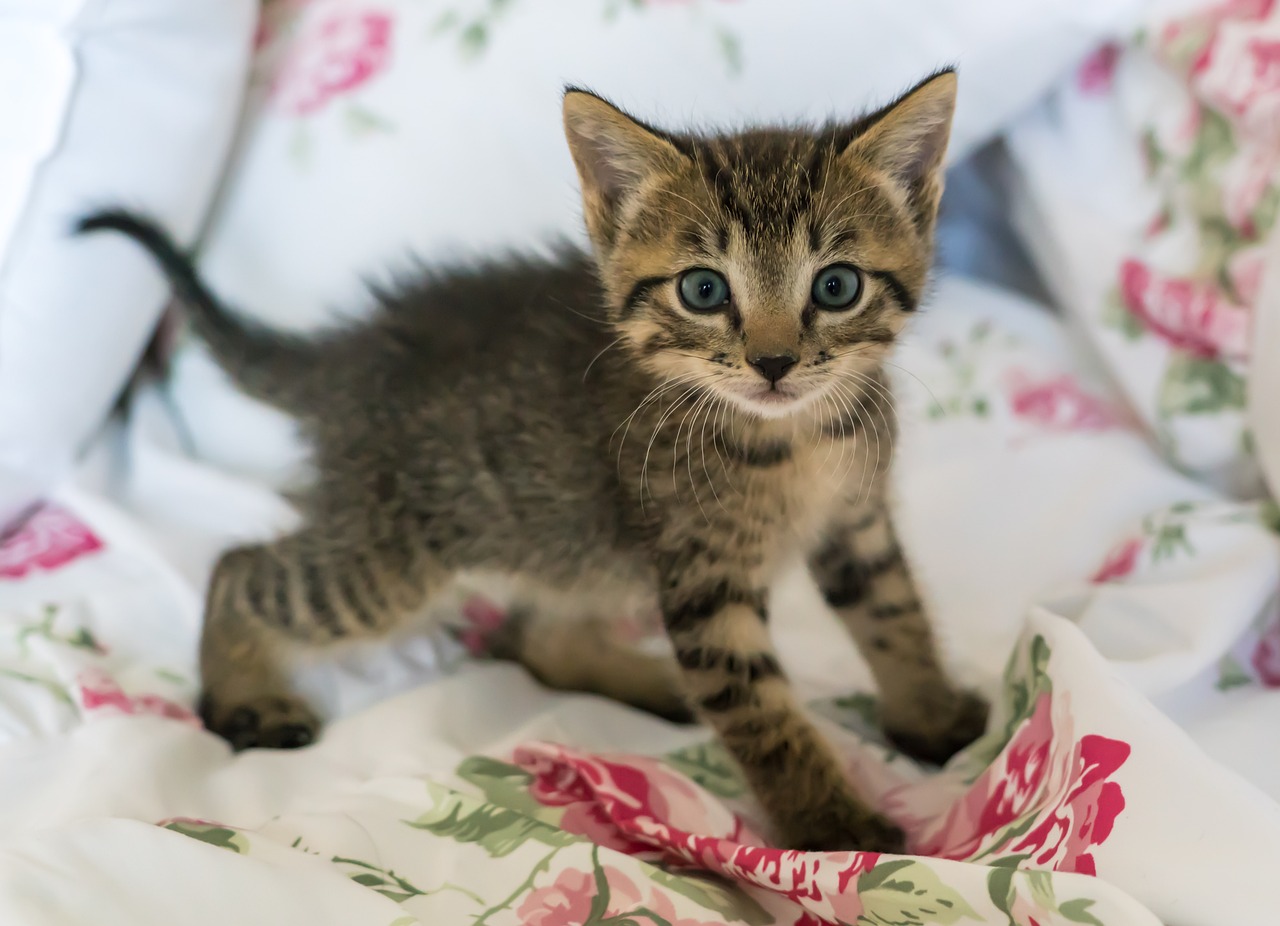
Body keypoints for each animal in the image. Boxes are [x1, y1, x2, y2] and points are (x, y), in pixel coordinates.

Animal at [80, 68, 988, 855]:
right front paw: (837, 828)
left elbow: (897, 615)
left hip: (563, 538)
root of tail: (355, 353)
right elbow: (763, 713)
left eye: (836, 287)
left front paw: (931, 718)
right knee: (243, 569)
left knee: (538, 631)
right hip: (394, 557)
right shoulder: (704, 579)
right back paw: (244, 698)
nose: (773, 363)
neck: (796, 439)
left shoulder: (856, 523)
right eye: (703, 290)